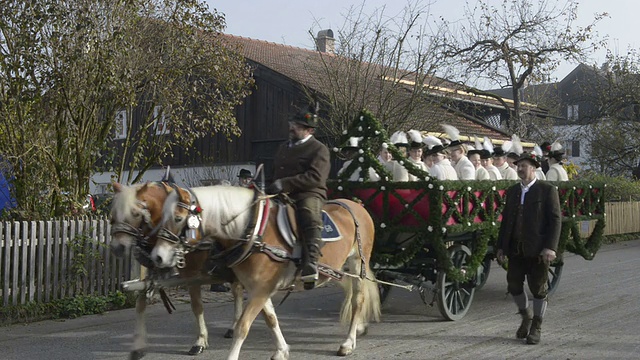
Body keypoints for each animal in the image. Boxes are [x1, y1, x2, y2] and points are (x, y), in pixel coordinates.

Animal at [107, 181, 245, 358]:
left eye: (135, 213)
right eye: (113, 213)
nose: (117, 248)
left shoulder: (192, 274)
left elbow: (197, 306)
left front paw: (200, 341)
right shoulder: (152, 273)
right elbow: (140, 304)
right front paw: (138, 346)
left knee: (238, 292)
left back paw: (234, 326)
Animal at [151, 186, 380, 360]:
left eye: (178, 218)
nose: (158, 256)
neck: (253, 234)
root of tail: (356, 205)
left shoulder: (260, 290)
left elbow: (243, 326)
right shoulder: (258, 289)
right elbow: (271, 318)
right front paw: (282, 350)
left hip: (357, 264)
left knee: (358, 300)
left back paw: (348, 342)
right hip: (336, 270)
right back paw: (360, 327)